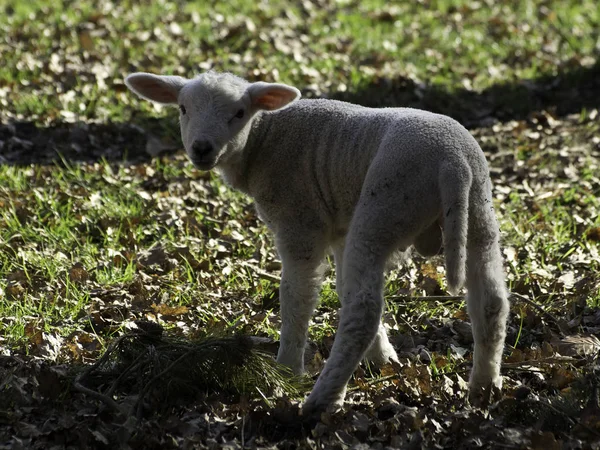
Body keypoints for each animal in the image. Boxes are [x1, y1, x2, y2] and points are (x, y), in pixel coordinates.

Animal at [124, 71, 508, 414]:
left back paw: (321, 400)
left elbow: (298, 296)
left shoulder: (301, 222)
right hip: (478, 211)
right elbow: (341, 287)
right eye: (183, 108)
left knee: (364, 310)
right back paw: (483, 389)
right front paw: (383, 359)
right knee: (490, 301)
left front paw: (287, 372)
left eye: (239, 113)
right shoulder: (339, 226)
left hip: (386, 206)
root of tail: (452, 165)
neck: (263, 140)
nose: (202, 148)